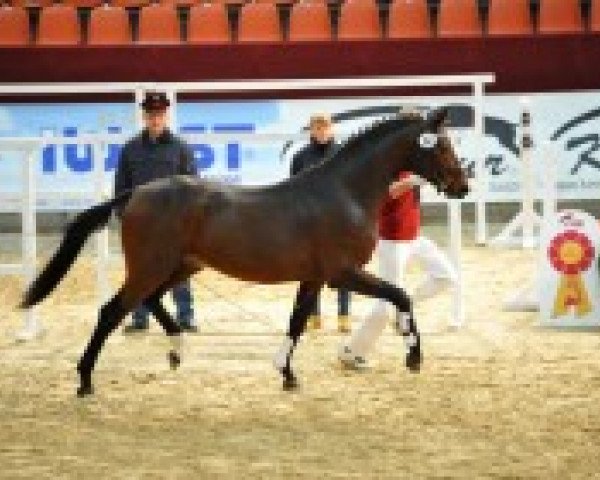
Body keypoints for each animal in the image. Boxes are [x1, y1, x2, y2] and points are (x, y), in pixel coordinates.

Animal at [19, 109, 468, 398]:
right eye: (441, 146)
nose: (462, 186)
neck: (345, 191)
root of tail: (135, 193)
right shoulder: (342, 273)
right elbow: (400, 295)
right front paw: (414, 356)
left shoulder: (313, 278)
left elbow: (297, 322)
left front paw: (286, 374)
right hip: (152, 266)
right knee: (111, 311)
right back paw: (85, 381)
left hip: (180, 266)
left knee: (150, 300)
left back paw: (177, 350)